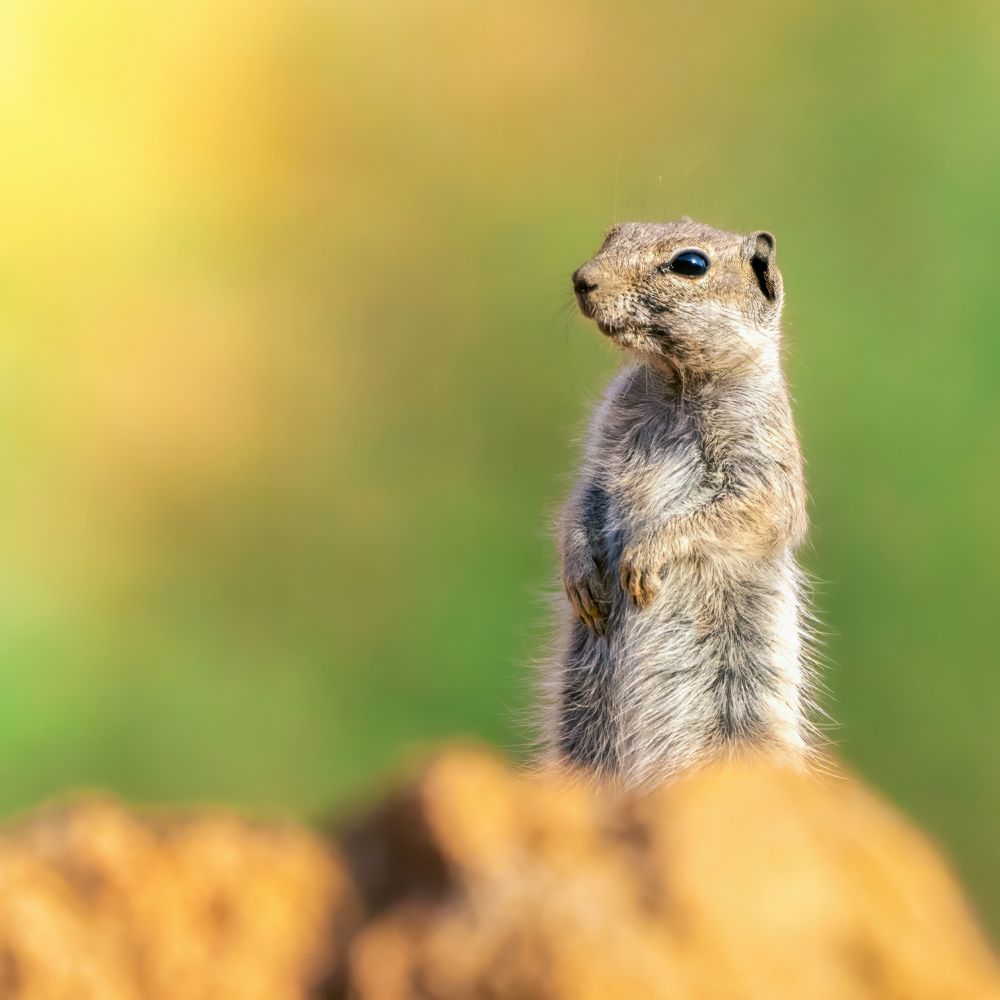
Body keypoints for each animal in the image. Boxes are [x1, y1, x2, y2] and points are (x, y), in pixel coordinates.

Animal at [543, 219, 815, 787]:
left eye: (690, 264)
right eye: (613, 233)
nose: (582, 279)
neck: (674, 379)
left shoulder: (762, 459)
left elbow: (745, 510)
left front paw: (645, 559)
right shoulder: (601, 443)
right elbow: (580, 501)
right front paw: (580, 575)